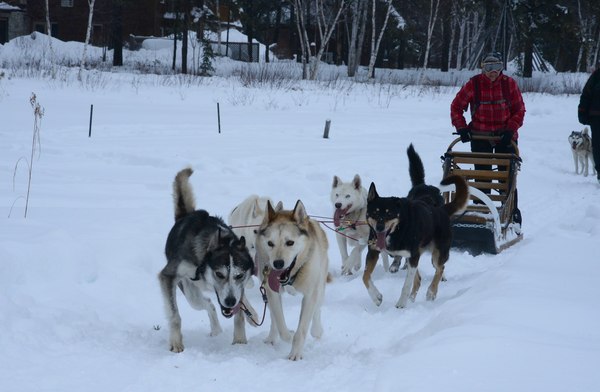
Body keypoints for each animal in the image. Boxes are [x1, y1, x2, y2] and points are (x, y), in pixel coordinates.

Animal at [158, 168, 256, 352]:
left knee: (215, 303)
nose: (230, 301)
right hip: (191, 294)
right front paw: (176, 342)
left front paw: (239, 341)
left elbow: (238, 315)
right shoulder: (168, 276)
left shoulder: (239, 287)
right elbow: (175, 316)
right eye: (219, 274)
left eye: (239, 275)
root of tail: (186, 214)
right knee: (209, 303)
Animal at [253, 201, 328, 360]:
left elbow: (303, 328)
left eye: (290, 242)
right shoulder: (272, 292)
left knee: (317, 308)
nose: (278, 263)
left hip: (320, 284)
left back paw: (316, 330)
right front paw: (289, 336)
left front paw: (295, 353)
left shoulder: (310, 295)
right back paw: (271, 337)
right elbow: (280, 324)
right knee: (273, 317)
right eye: (270, 243)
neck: (292, 275)